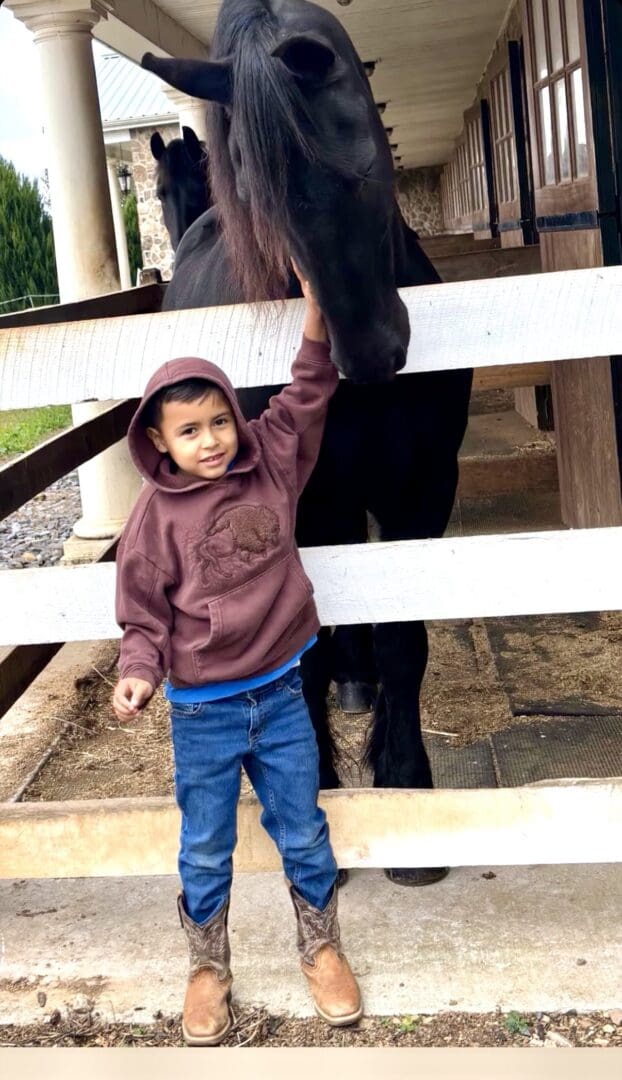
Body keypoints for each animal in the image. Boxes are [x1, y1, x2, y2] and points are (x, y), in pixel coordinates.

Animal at [143, 0, 473, 886]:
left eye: (355, 159)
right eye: (260, 196)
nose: (368, 352)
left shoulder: (422, 489)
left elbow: (403, 640)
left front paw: (406, 791)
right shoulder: (297, 507)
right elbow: (303, 654)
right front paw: (317, 785)